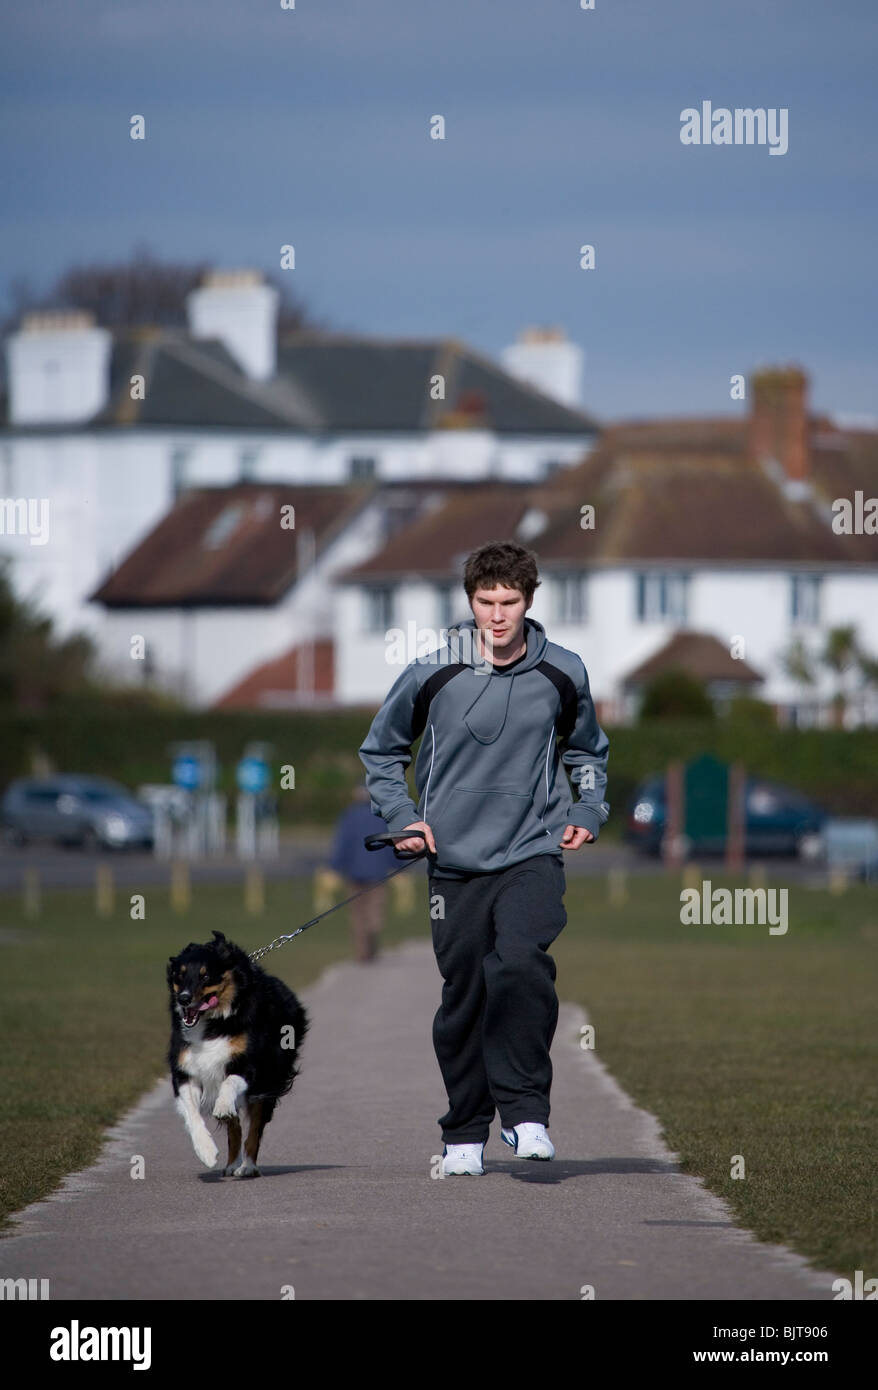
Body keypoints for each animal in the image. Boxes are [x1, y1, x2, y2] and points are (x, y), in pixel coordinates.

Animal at [166, 928, 307, 1178]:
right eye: (179, 976)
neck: (214, 1022)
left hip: (269, 1080)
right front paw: (206, 1152)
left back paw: (248, 1166)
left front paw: (222, 1106)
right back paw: (232, 1164)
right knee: (236, 1129)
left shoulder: (251, 1064)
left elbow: (230, 1082)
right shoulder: (184, 1071)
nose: (183, 999)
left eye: (205, 976)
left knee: (254, 1130)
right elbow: (192, 1113)